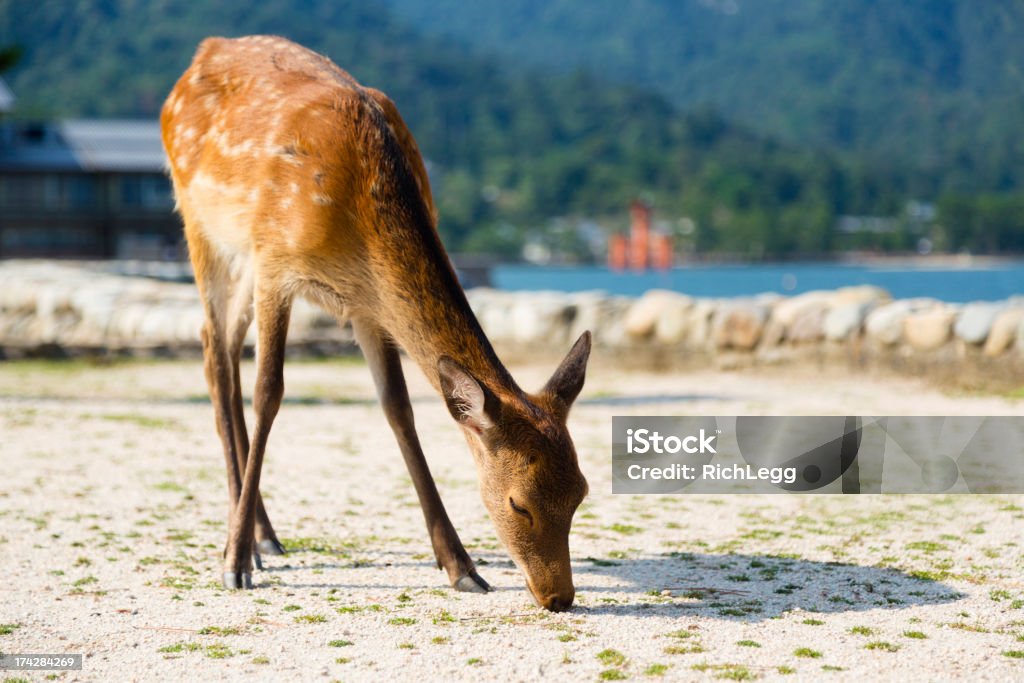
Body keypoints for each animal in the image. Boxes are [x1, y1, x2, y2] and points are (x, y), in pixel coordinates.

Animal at [159, 36, 593, 614]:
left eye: (581, 493)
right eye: (518, 503)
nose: (558, 596)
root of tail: (202, 54)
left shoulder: (367, 306)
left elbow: (399, 410)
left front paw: (462, 567)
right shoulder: (276, 262)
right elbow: (269, 393)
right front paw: (230, 565)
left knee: (223, 346)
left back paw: (262, 535)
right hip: (201, 224)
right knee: (214, 353)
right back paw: (245, 543)